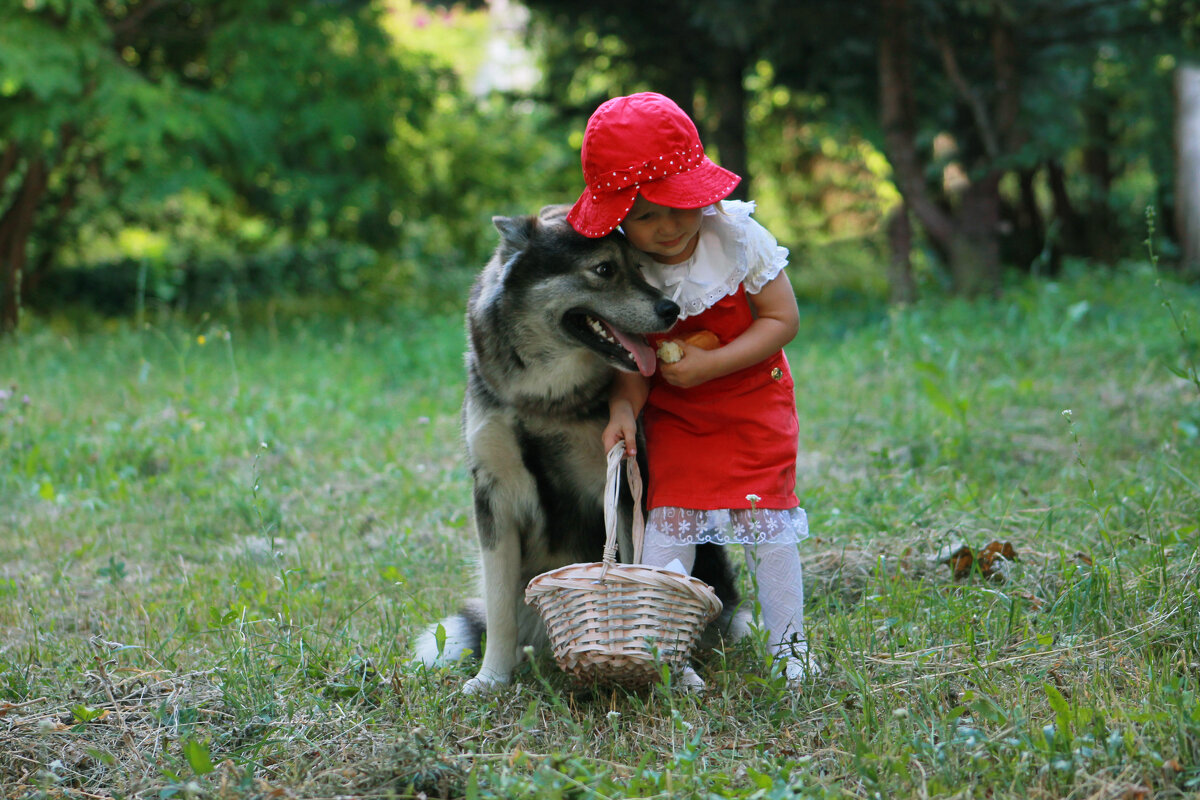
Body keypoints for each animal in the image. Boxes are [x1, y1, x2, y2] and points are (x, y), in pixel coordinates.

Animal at [412, 206, 739, 695]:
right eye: (604, 270)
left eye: (640, 267)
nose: (671, 309)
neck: (546, 399)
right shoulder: (493, 497)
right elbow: (499, 606)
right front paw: (491, 678)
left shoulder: (624, 488)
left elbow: (637, 573)